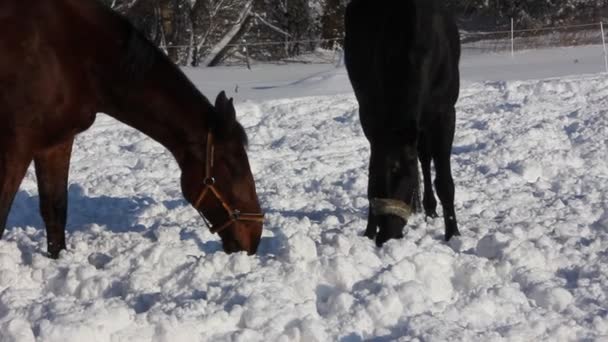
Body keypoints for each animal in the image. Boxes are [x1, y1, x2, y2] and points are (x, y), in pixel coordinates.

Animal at [344, 0, 464, 246]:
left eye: (402, 173)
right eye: (376, 176)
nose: (386, 236)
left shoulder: (445, 114)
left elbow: (444, 182)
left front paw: (453, 234)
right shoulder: (369, 116)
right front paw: (368, 232)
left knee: (425, 159)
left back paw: (430, 209)